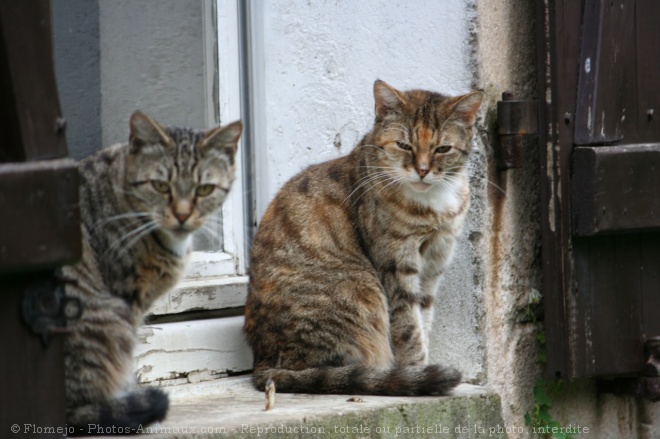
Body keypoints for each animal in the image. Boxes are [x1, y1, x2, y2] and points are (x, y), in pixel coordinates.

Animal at [245, 81, 482, 398]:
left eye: (443, 149)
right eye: (404, 145)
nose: (422, 170)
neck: (432, 205)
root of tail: (263, 364)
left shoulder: (433, 267)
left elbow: (424, 321)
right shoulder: (396, 266)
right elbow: (409, 328)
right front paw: (417, 370)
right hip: (360, 291)